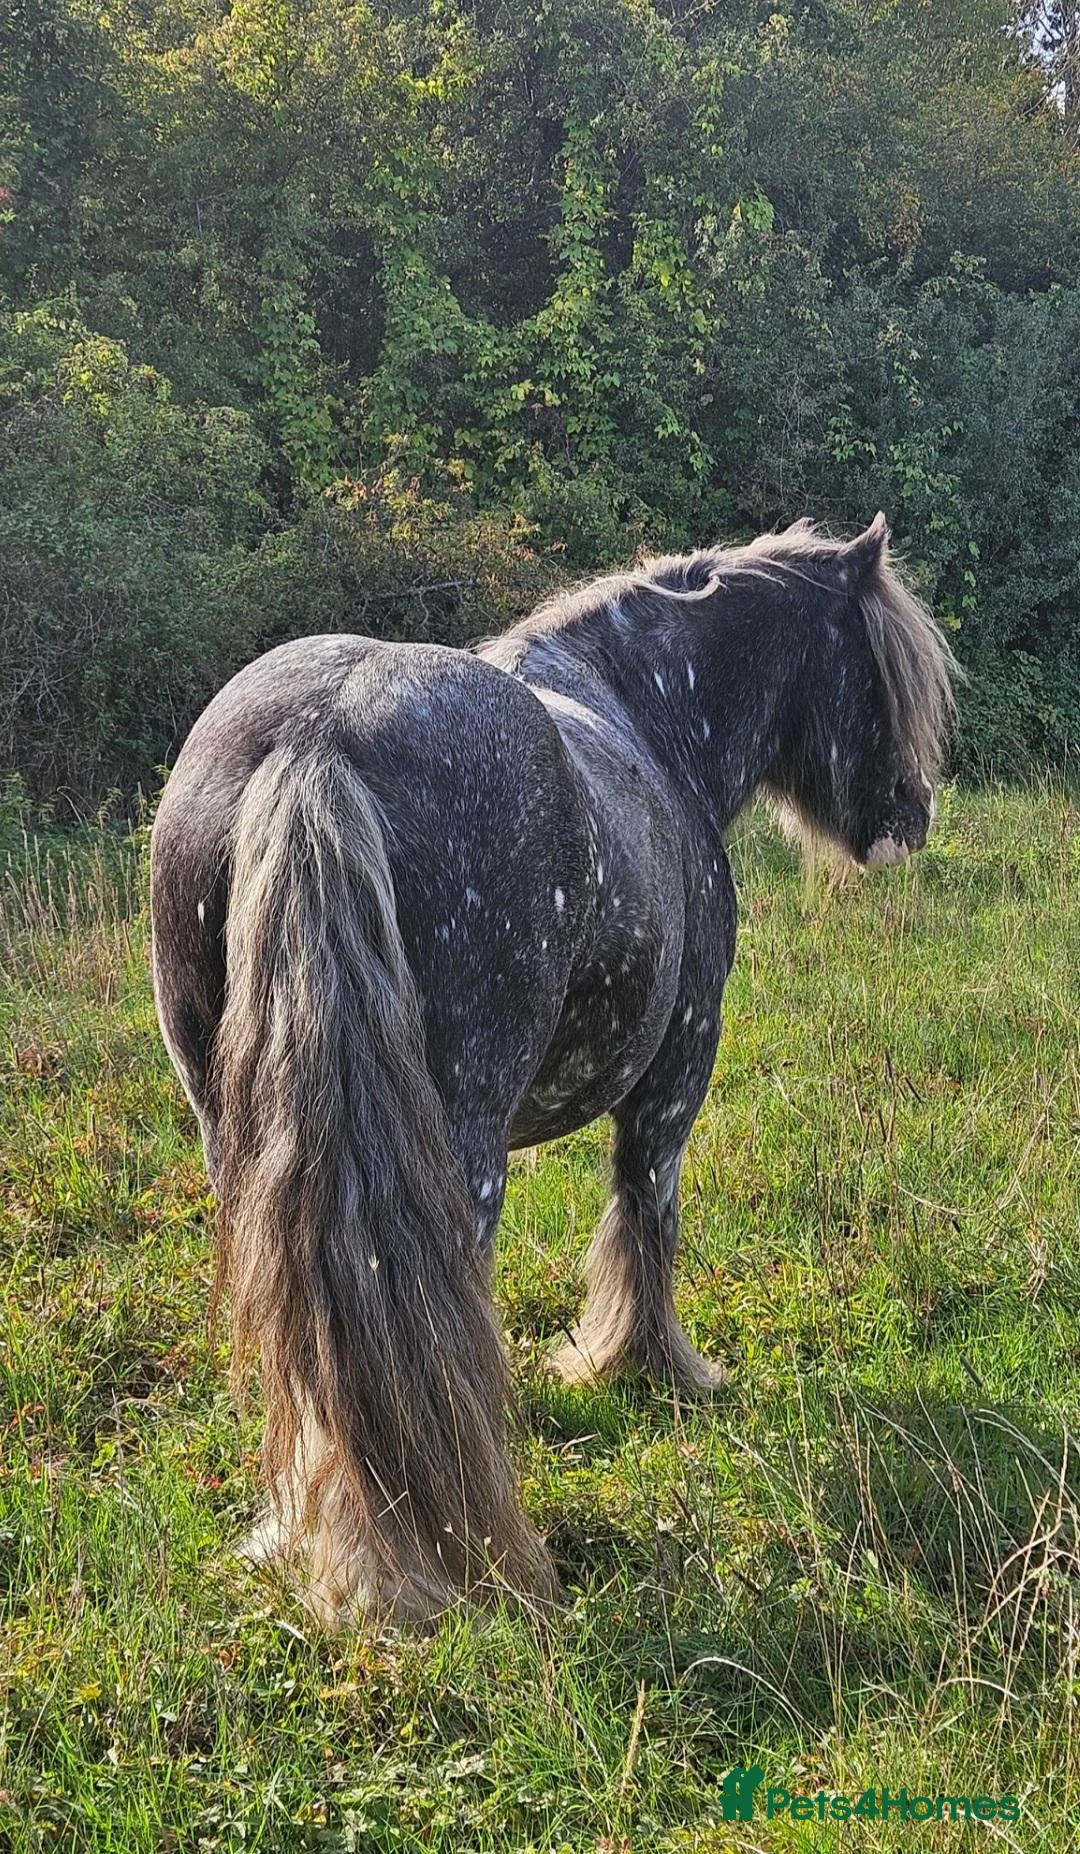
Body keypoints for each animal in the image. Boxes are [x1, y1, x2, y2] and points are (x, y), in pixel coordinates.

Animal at [149, 512, 955, 1628]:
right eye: (879, 671)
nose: (911, 815)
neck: (646, 712)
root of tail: (319, 743)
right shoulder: (677, 1070)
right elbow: (646, 1212)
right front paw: (645, 1365)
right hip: (462, 1153)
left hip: (238, 1150)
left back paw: (300, 1534)